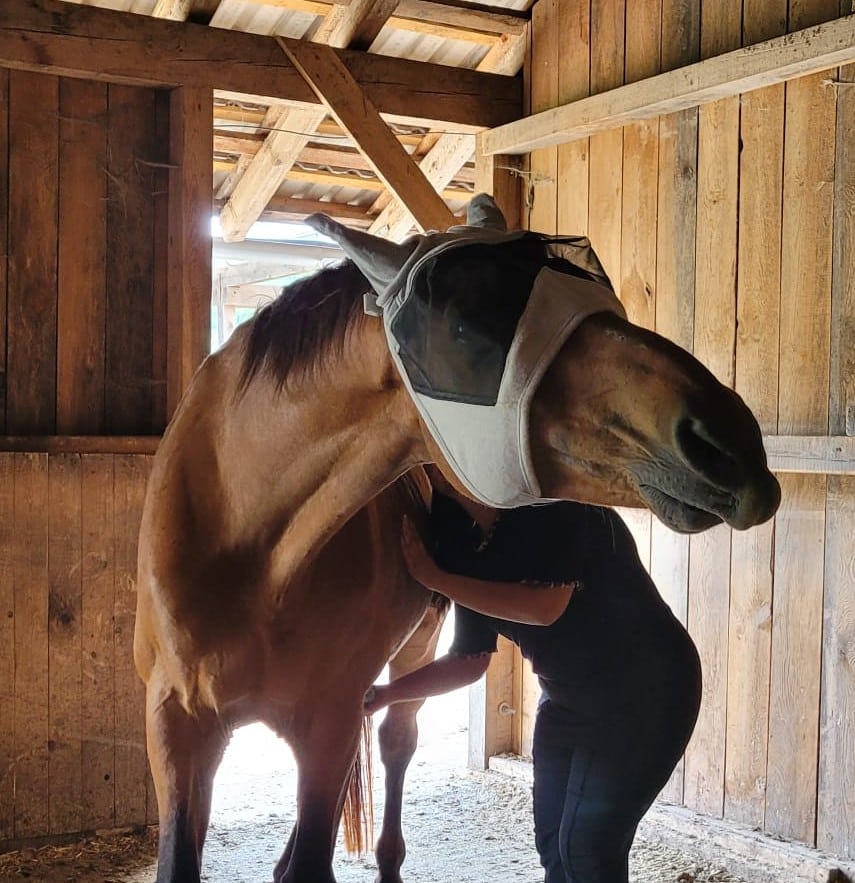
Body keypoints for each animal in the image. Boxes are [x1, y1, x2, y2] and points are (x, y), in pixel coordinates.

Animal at [133, 194, 780, 883]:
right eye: (464, 329)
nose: (728, 443)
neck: (248, 549)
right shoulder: (176, 725)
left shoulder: (329, 719)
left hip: (408, 655)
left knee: (395, 740)